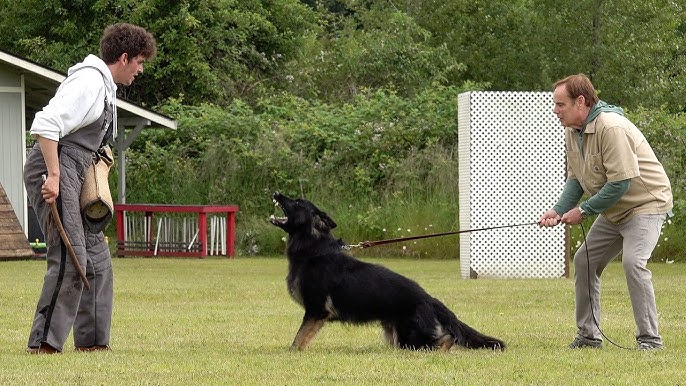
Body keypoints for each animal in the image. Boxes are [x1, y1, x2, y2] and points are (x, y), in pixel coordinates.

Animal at [272, 191, 508, 352]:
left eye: (297, 202)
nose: (276, 193)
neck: (314, 250)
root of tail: (429, 299)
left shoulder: (316, 311)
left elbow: (298, 340)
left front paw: (291, 354)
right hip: (395, 335)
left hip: (410, 338)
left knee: (445, 340)